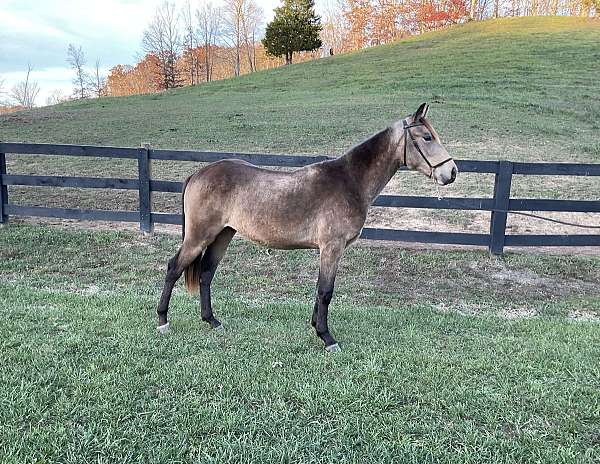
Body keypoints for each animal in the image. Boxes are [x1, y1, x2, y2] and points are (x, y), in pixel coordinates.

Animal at [157, 103, 458, 352]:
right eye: (427, 137)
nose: (452, 172)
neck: (350, 180)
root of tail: (198, 174)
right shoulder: (332, 247)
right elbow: (326, 292)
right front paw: (327, 338)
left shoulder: (328, 250)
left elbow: (319, 290)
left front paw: (316, 327)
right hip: (199, 236)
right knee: (174, 269)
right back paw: (162, 320)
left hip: (223, 235)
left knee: (206, 274)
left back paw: (212, 321)